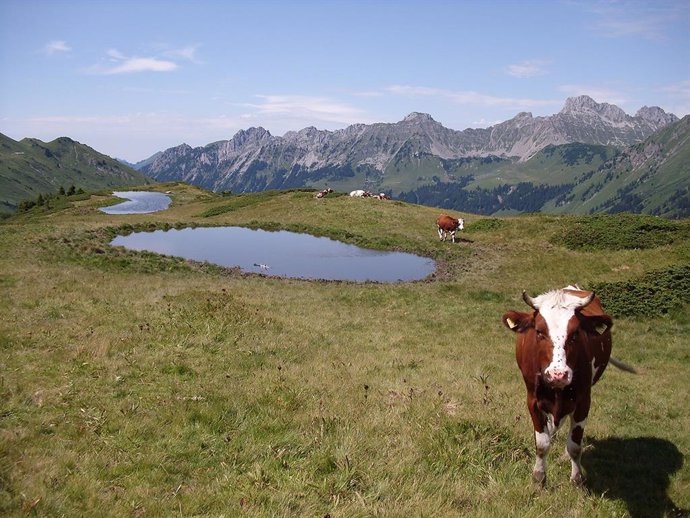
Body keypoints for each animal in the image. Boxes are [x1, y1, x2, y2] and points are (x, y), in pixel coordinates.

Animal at [500, 288, 628, 488]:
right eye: (539, 331)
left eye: (575, 333)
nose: (558, 374)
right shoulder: (532, 400)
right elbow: (542, 443)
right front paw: (539, 477)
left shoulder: (583, 401)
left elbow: (575, 446)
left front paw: (577, 478)